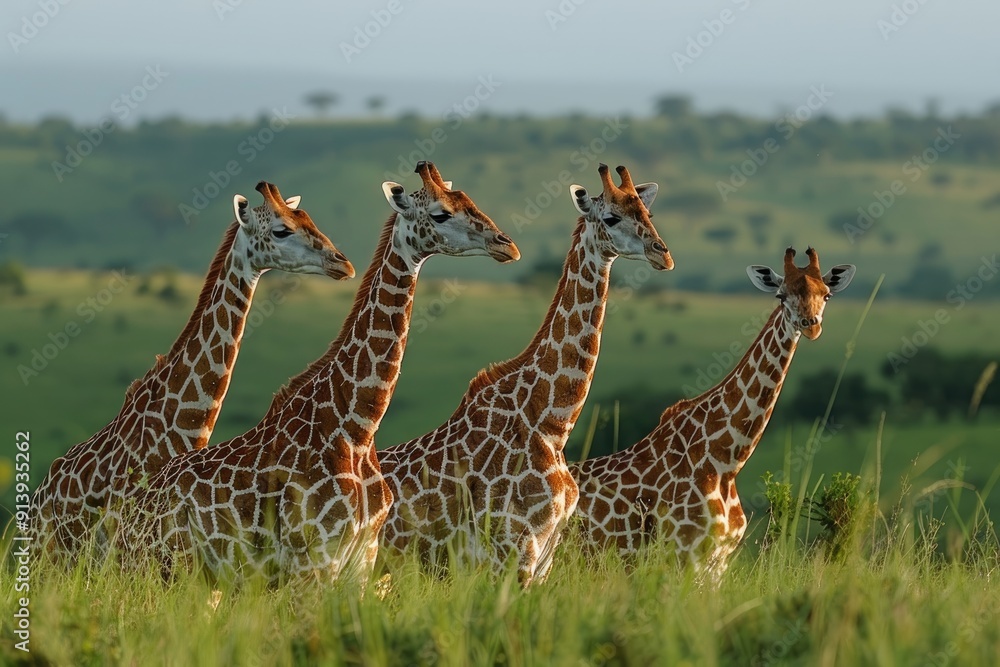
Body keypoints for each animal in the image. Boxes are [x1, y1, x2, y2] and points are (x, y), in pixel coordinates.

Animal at [107, 161, 519, 586]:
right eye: (440, 214)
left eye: (469, 200)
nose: (506, 245)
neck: (357, 427)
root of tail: (128, 520)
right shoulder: (312, 558)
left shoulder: (362, 559)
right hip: (167, 566)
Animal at [378, 164, 674, 587]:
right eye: (611, 218)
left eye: (647, 214)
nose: (662, 254)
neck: (550, 423)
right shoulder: (513, 549)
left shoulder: (544, 556)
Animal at [571, 246, 855, 577]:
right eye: (781, 295)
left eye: (826, 294)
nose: (811, 325)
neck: (725, 461)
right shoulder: (683, 554)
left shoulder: (718, 561)